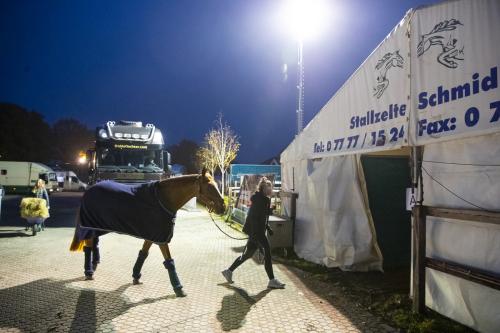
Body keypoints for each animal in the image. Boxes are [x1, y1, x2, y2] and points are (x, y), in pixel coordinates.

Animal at [69, 170, 226, 296]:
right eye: (210, 187)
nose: (223, 207)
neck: (163, 199)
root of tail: (89, 189)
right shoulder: (161, 238)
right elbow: (169, 261)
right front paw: (179, 289)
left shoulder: (152, 235)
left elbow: (143, 254)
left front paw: (136, 276)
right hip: (90, 226)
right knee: (88, 247)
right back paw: (89, 272)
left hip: (97, 226)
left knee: (94, 244)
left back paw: (95, 263)